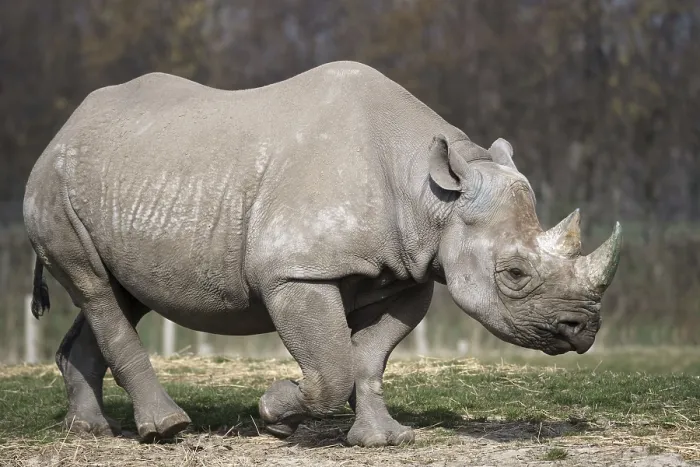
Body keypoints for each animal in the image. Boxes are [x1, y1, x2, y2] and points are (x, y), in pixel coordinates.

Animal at [23, 61, 621, 447]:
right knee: (97, 288)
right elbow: (333, 365)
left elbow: (368, 358)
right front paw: (275, 415)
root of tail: (62, 130)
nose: (583, 330)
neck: (432, 196)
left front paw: (385, 440)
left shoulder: (409, 272)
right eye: (514, 273)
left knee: (121, 292)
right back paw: (168, 430)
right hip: (54, 187)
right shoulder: (295, 273)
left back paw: (92, 431)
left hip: (126, 178)